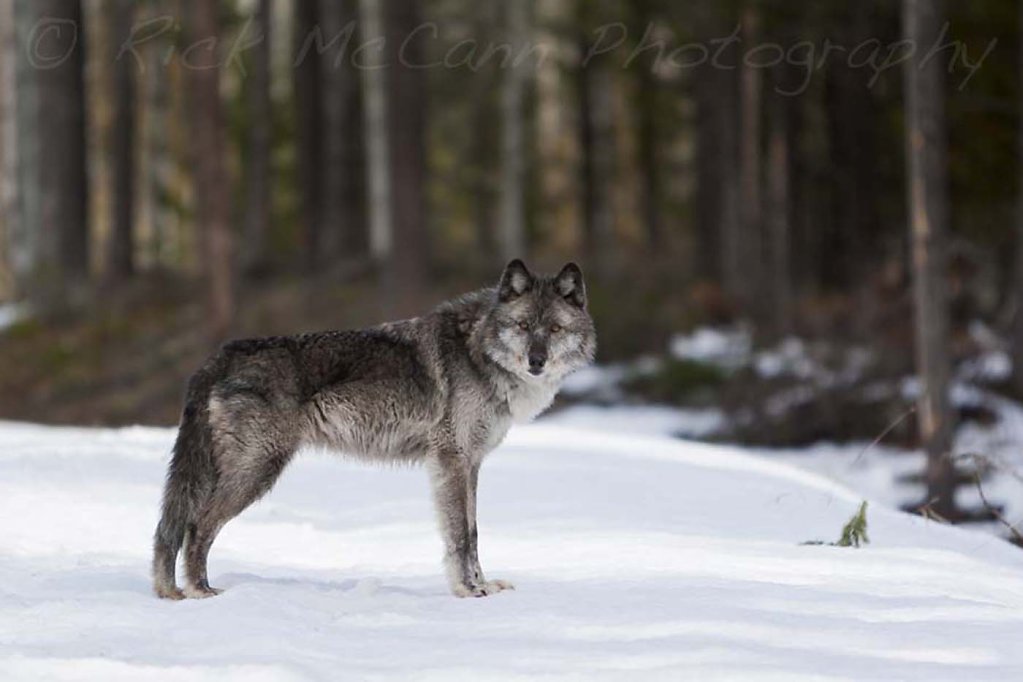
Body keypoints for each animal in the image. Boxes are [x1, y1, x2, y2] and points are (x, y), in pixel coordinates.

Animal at [153, 258, 597, 601]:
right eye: (522, 326)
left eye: (554, 330)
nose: (537, 361)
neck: (478, 352)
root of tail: (222, 355)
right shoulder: (452, 461)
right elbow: (460, 536)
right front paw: (469, 591)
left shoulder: (470, 464)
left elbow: (472, 533)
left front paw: (482, 584)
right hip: (257, 471)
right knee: (196, 526)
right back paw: (201, 592)